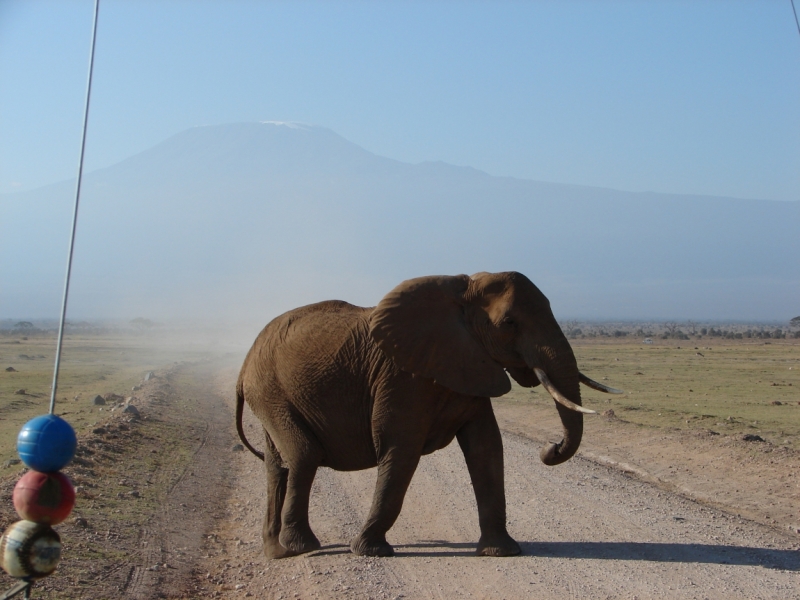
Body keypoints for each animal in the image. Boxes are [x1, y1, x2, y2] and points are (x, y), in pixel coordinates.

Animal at [234, 272, 620, 556]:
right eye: (509, 322)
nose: (549, 448)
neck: (462, 293)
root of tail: (244, 363)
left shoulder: (467, 363)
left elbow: (486, 448)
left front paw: (502, 551)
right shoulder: (402, 377)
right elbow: (401, 450)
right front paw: (369, 551)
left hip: (271, 396)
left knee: (277, 465)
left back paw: (277, 552)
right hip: (271, 392)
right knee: (303, 455)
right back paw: (303, 548)